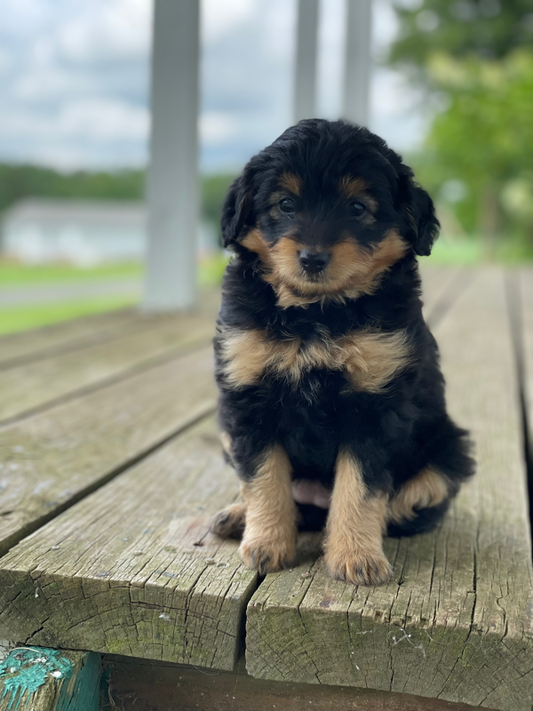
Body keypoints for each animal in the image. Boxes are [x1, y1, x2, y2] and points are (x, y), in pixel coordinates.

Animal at [210, 119, 472, 588]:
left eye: (357, 208)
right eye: (285, 204)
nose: (312, 258)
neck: (316, 313)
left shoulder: (376, 405)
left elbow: (360, 488)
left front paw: (355, 556)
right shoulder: (248, 398)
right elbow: (263, 476)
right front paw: (267, 544)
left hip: (451, 448)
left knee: (407, 499)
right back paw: (238, 516)